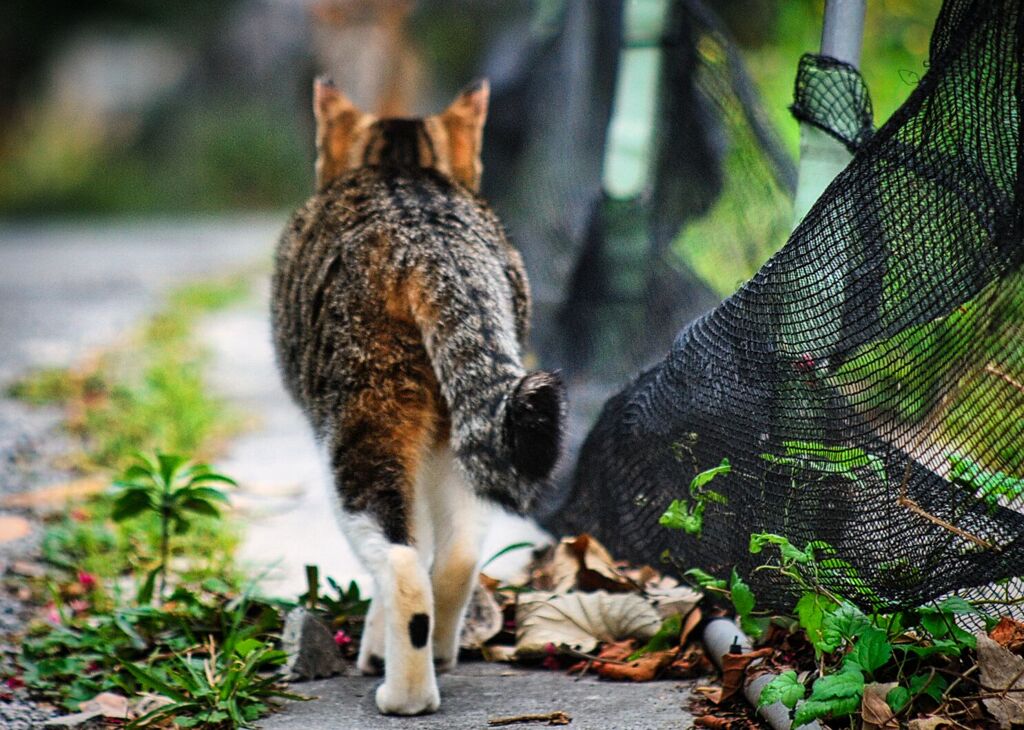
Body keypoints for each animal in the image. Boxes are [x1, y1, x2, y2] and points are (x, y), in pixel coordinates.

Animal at [270, 78, 569, 712]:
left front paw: (373, 649)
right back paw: (442, 652)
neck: (400, 164)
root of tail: (427, 238)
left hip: (361, 427)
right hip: (470, 437)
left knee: (403, 562)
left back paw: (404, 692)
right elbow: (441, 544)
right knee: (457, 553)